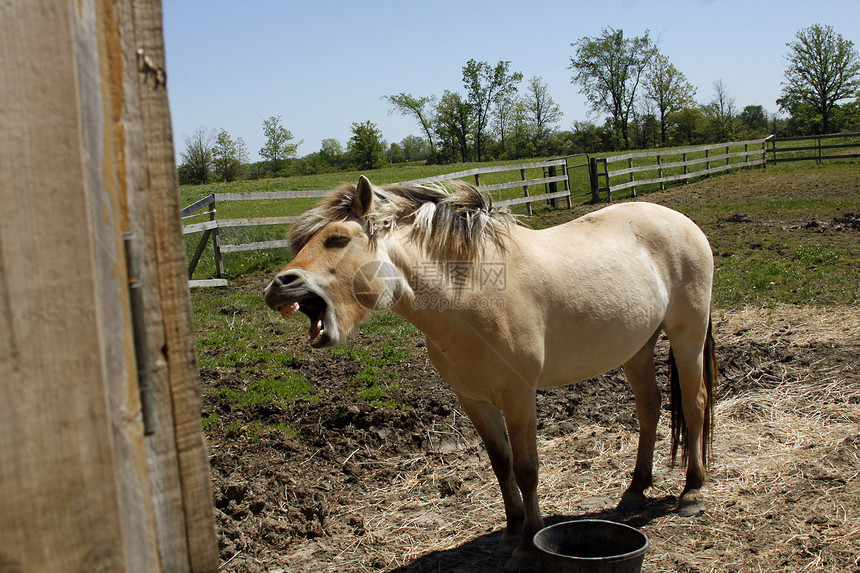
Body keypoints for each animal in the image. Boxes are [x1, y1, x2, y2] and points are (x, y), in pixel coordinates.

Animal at [266, 177, 716, 568]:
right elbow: (501, 464)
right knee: (650, 408)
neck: (470, 296)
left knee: (695, 403)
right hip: (638, 347)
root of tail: (681, 221)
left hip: (687, 335)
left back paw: (692, 490)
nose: (278, 286)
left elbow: (527, 469)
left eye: (338, 239)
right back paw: (636, 488)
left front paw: (529, 544)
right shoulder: (474, 399)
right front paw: (511, 532)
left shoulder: (518, 395)